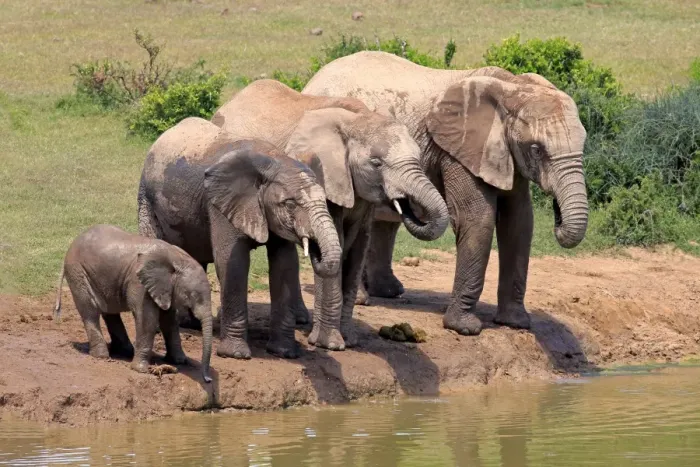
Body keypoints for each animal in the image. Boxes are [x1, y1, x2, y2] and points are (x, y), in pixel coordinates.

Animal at [53, 224, 212, 382]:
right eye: (191, 295)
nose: (207, 379)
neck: (176, 259)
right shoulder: (139, 283)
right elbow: (146, 319)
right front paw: (140, 370)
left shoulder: (166, 288)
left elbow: (169, 321)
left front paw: (180, 361)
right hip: (77, 272)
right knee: (90, 313)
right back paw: (101, 356)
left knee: (110, 312)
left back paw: (125, 352)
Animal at [138, 117, 341, 360]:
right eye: (290, 204)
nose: (315, 250)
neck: (274, 161)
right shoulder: (221, 203)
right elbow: (232, 262)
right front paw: (235, 354)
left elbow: (285, 264)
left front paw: (284, 352)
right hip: (146, 197)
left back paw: (190, 324)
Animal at [212, 79, 449, 350]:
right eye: (376, 163)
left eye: (419, 157)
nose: (404, 203)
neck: (359, 119)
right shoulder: (324, 178)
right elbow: (338, 243)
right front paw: (331, 345)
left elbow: (357, 249)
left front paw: (350, 340)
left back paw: (300, 319)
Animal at [303, 51, 589, 335]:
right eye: (536, 149)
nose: (557, 216)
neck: (513, 88)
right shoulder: (458, 150)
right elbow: (477, 217)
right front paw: (465, 328)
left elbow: (519, 222)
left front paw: (515, 322)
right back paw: (366, 299)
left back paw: (390, 292)